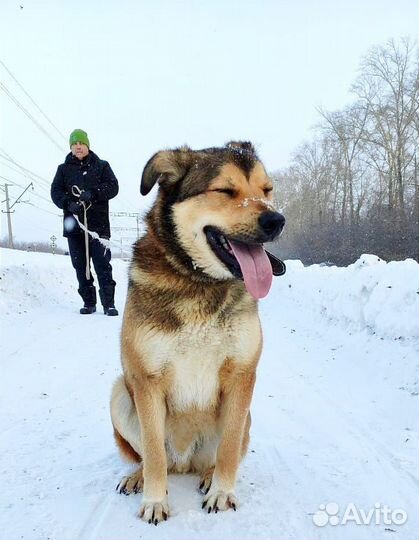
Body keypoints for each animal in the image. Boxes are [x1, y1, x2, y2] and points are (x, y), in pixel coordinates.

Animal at [109, 139, 286, 524]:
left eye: (267, 190)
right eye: (225, 190)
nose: (276, 220)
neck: (199, 283)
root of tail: (184, 461)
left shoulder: (242, 375)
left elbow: (230, 446)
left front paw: (222, 492)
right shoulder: (147, 381)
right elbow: (153, 453)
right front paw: (154, 500)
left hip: (244, 416)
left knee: (221, 453)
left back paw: (207, 474)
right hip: (120, 393)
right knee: (153, 457)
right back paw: (138, 476)